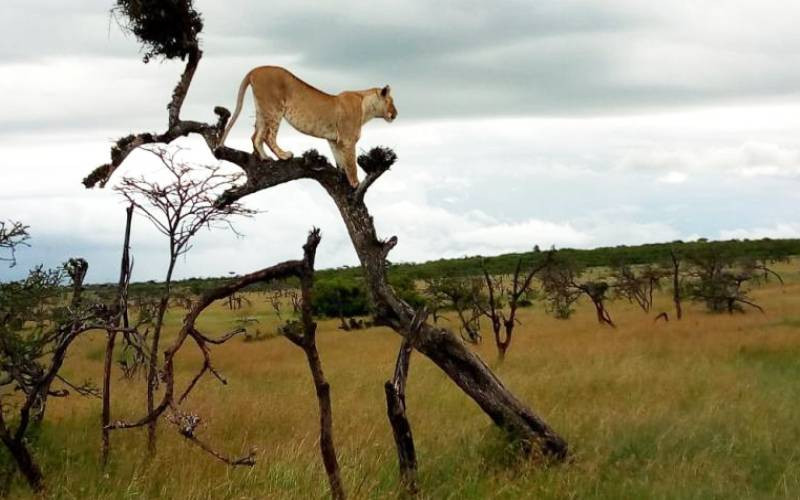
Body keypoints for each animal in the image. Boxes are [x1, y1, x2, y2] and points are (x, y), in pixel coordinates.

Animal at [219, 66, 397, 187]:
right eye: (391, 102)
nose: (396, 114)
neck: (366, 107)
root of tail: (255, 70)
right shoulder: (348, 140)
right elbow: (351, 162)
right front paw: (355, 183)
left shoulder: (335, 140)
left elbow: (340, 160)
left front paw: (341, 175)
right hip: (274, 108)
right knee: (269, 136)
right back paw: (284, 155)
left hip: (262, 109)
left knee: (256, 136)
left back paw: (265, 157)